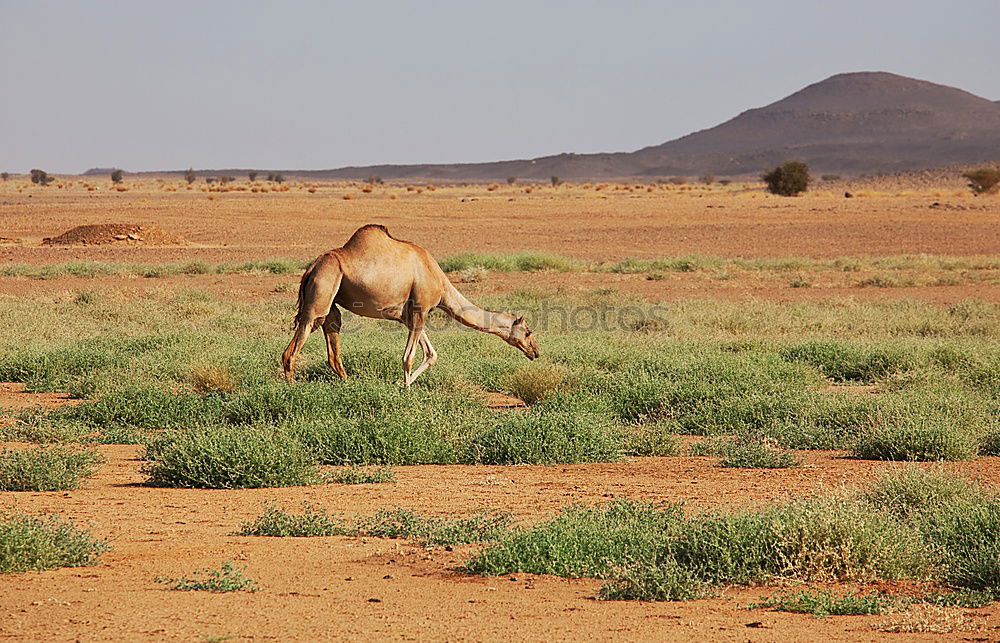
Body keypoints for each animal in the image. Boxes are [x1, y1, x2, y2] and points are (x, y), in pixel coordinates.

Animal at [282, 225, 540, 388]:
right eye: (528, 332)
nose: (535, 352)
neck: (440, 283)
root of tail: (311, 268)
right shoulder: (421, 308)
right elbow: (409, 357)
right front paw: (405, 390)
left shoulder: (409, 316)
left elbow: (431, 354)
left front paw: (401, 383)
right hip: (322, 289)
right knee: (294, 346)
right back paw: (292, 389)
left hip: (331, 301)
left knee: (332, 338)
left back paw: (346, 383)